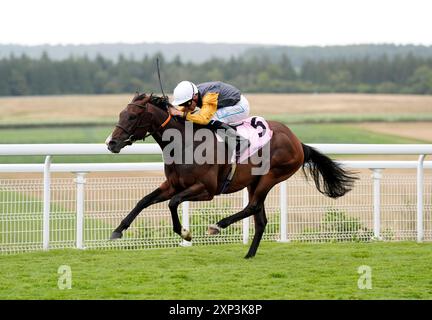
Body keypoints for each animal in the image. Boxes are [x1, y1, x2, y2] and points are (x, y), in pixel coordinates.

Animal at [106, 92, 356, 258]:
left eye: (132, 116)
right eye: (120, 113)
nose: (111, 143)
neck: (184, 143)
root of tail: (297, 141)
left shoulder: (206, 190)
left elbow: (173, 203)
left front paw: (185, 233)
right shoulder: (172, 185)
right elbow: (144, 201)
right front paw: (117, 231)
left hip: (272, 176)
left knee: (253, 207)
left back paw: (218, 226)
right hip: (254, 181)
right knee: (260, 218)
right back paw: (249, 254)